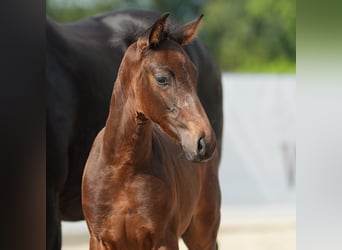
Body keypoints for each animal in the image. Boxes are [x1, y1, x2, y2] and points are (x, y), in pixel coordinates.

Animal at [46, 8, 223, 249]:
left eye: (195, 75)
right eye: (162, 79)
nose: (204, 141)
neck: (122, 168)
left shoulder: (164, 238)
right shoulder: (98, 239)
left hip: (203, 232)